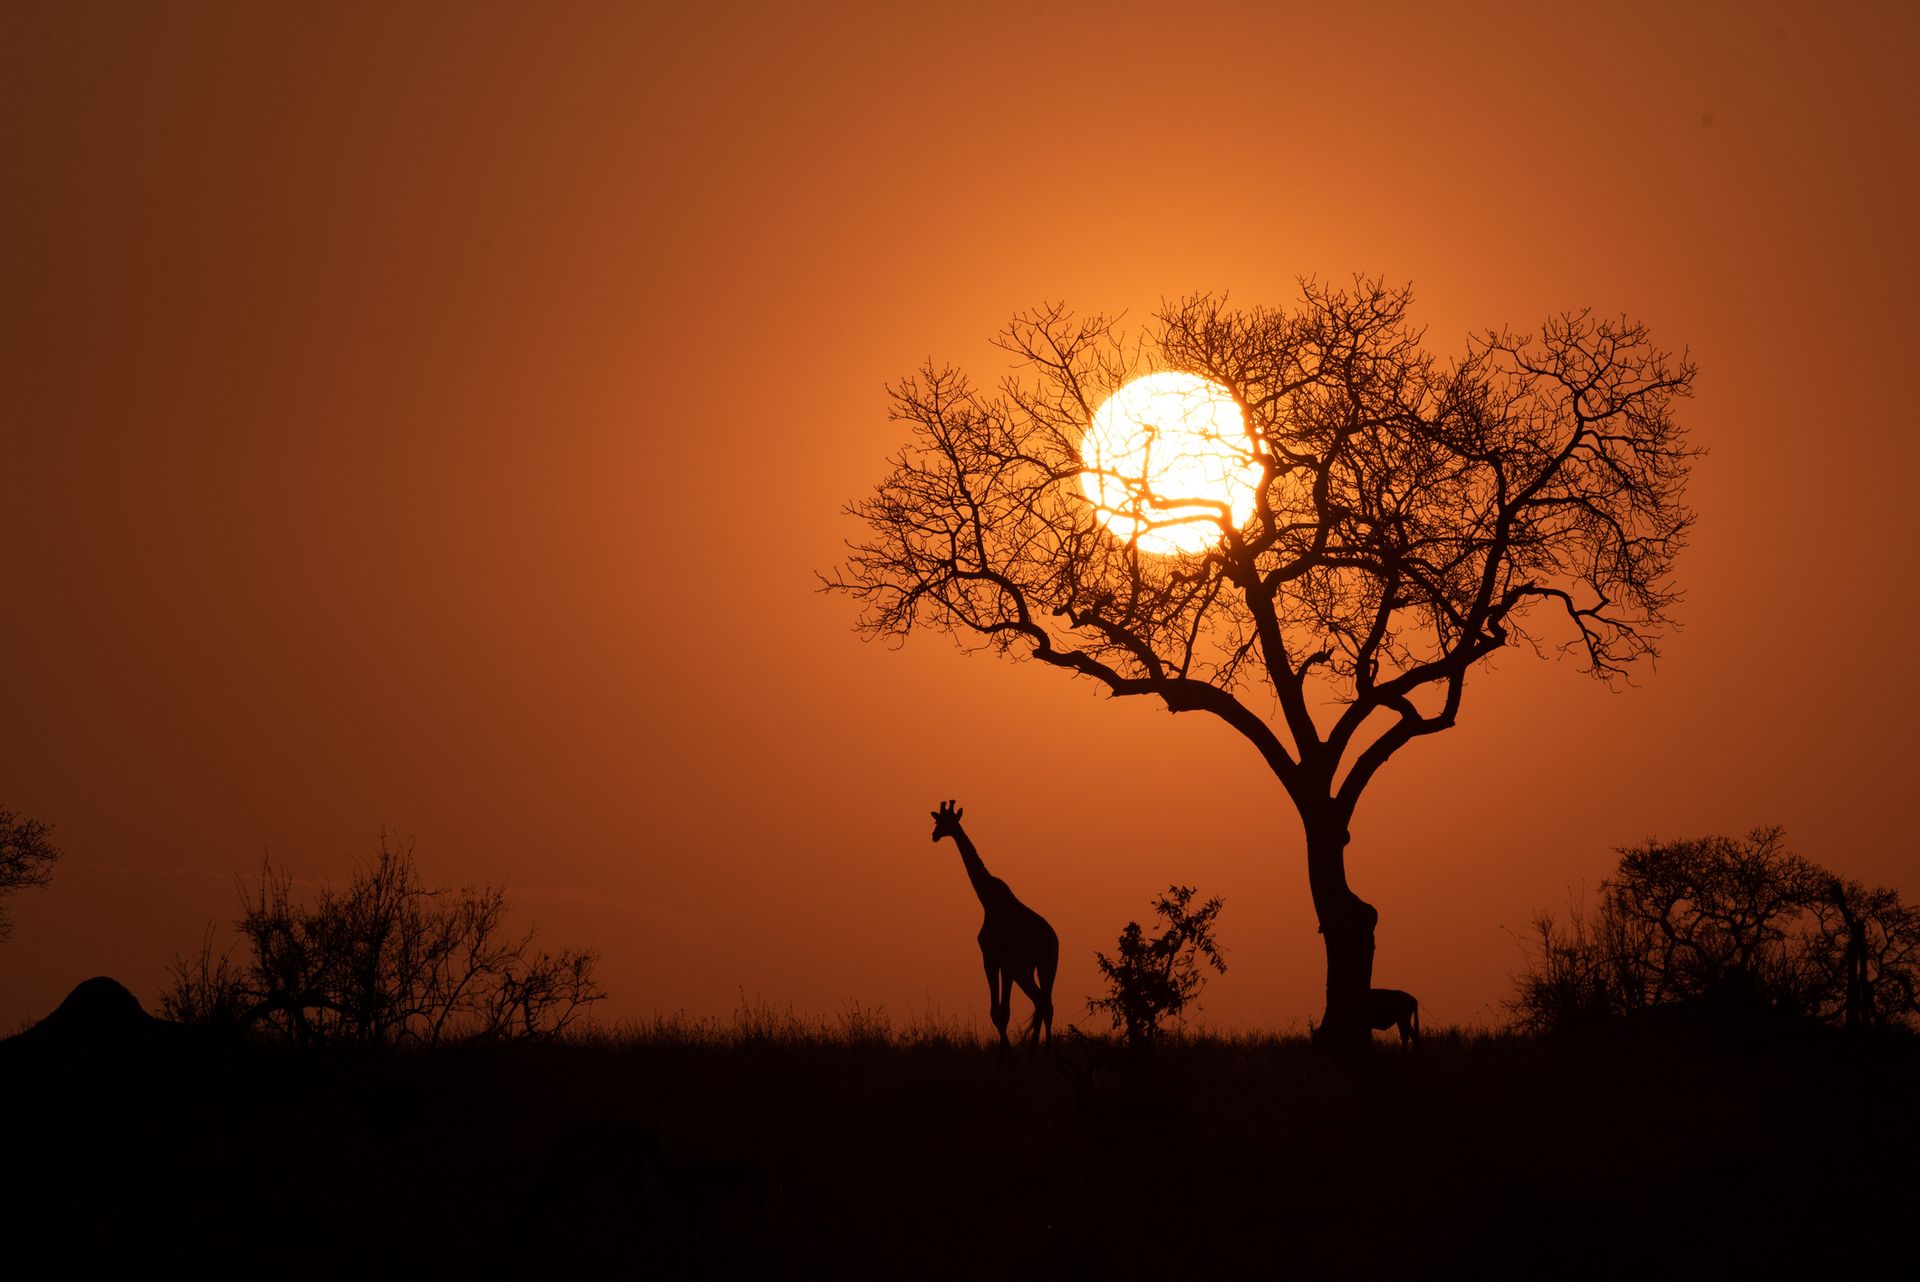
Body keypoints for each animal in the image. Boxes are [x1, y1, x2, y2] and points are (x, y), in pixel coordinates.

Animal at [929, 800, 1059, 1048]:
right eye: (937, 820)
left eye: (946, 821)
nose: (934, 835)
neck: (987, 900)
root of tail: (1052, 941)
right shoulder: (1002, 962)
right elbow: (999, 1012)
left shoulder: (994, 959)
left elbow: (1000, 1013)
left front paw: (1005, 1053)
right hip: (1041, 967)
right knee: (1044, 1003)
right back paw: (1040, 1051)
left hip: (1028, 968)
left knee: (1042, 1002)